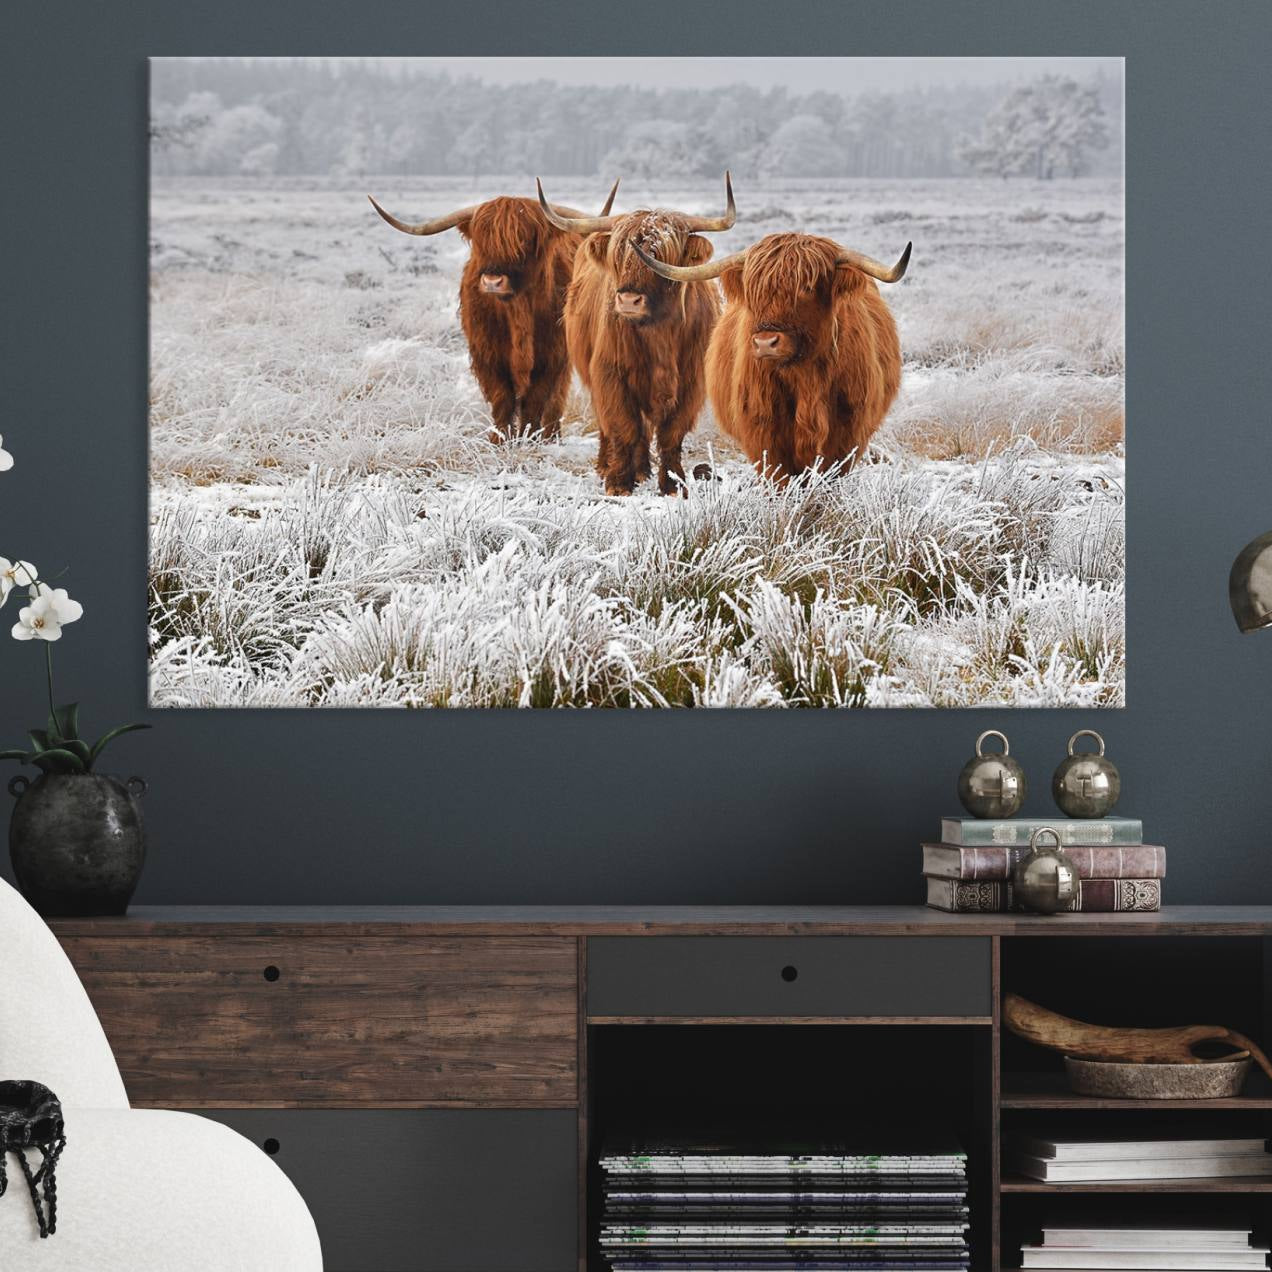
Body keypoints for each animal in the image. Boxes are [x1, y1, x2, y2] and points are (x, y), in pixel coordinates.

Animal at [368, 181, 619, 441]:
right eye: (481, 241)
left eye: (524, 239)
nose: (492, 281)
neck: (517, 311)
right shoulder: (488, 354)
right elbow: (502, 399)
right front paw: (499, 440)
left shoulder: (552, 355)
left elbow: (535, 400)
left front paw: (529, 438)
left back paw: (551, 435)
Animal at [536, 176, 735, 496]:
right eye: (618, 255)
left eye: (661, 256)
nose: (628, 300)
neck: (659, 334)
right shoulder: (610, 374)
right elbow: (623, 427)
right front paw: (618, 482)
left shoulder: (691, 383)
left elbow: (670, 434)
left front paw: (673, 484)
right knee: (614, 426)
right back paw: (610, 466)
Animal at [632, 233, 911, 478]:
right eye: (753, 290)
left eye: (807, 287)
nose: (765, 343)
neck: (805, 378)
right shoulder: (763, 433)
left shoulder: (847, 433)